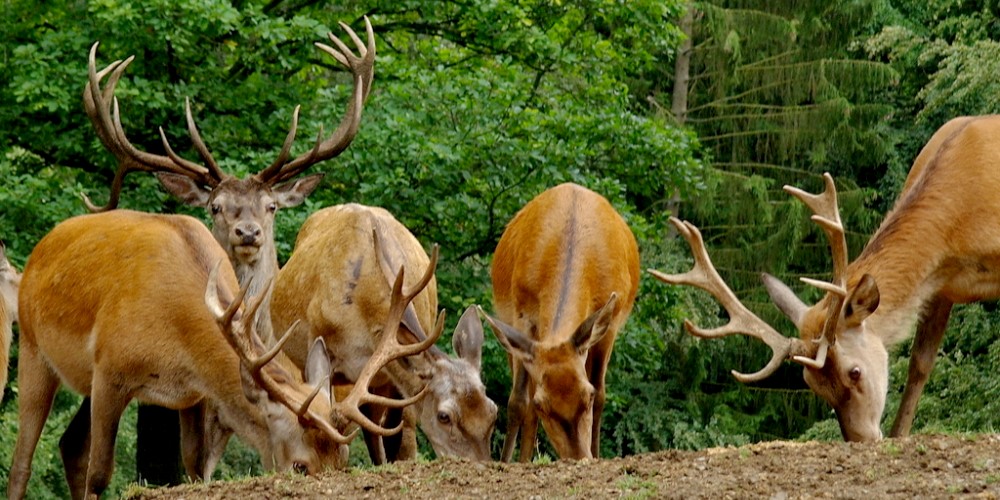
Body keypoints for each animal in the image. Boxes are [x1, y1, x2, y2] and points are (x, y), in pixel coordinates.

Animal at [6, 209, 438, 498]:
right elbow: (100, 473)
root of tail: (41, 248)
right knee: (22, 461)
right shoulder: (111, 369)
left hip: (79, 379)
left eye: (343, 460)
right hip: (31, 345)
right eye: (300, 466)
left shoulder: (192, 393)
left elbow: (196, 467)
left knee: (70, 445)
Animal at [478, 183, 636, 460]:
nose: (580, 457)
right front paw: (508, 461)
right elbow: (518, 401)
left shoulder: (611, 324)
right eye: (544, 406)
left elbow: (602, 392)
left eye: (587, 396)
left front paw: (597, 454)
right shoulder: (523, 316)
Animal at [648, 116, 1000, 442]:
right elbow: (920, 364)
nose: (861, 440)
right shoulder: (940, 287)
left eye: (854, 372)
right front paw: (900, 434)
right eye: (812, 384)